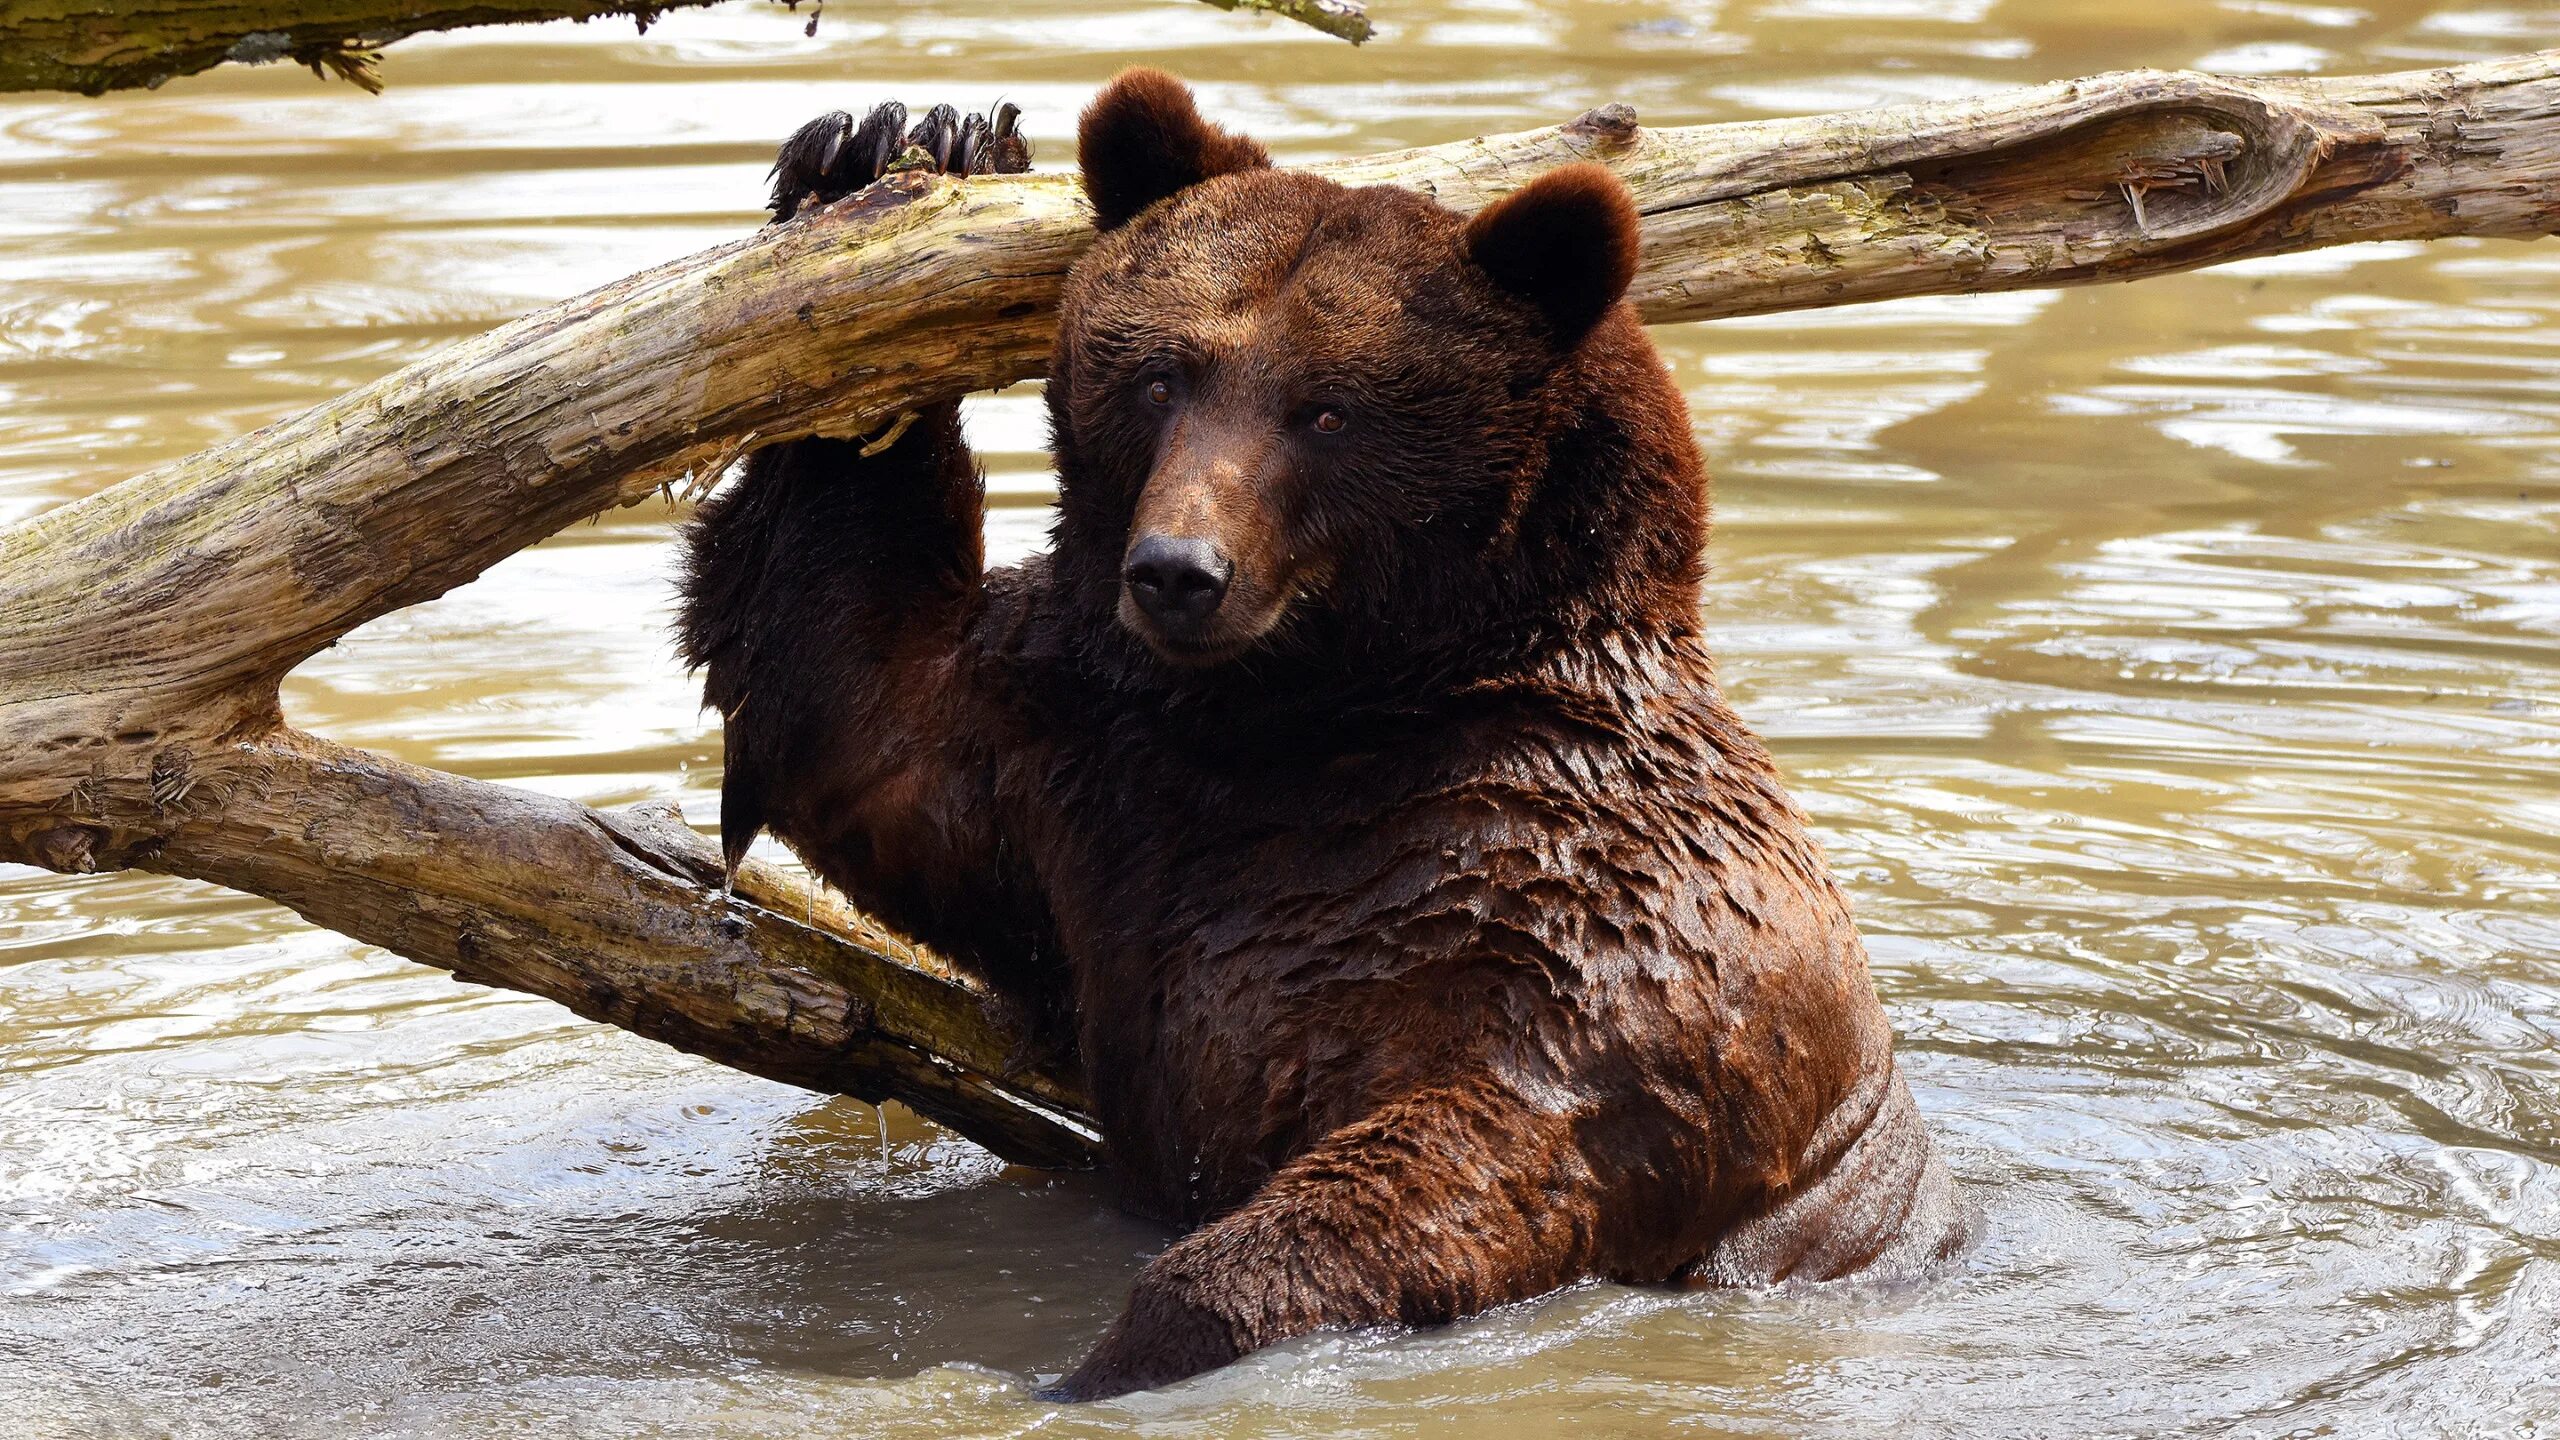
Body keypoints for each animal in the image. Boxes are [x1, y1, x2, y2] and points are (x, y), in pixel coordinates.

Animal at [670, 73, 1966, 1393]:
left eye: (1328, 410)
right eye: (1162, 377)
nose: (1177, 570)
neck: (1313, 713)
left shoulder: (1576, 918)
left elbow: (1476, 1148)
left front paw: (1113, 1350)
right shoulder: (1078, 762)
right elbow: (854, 705)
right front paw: (886, 148)